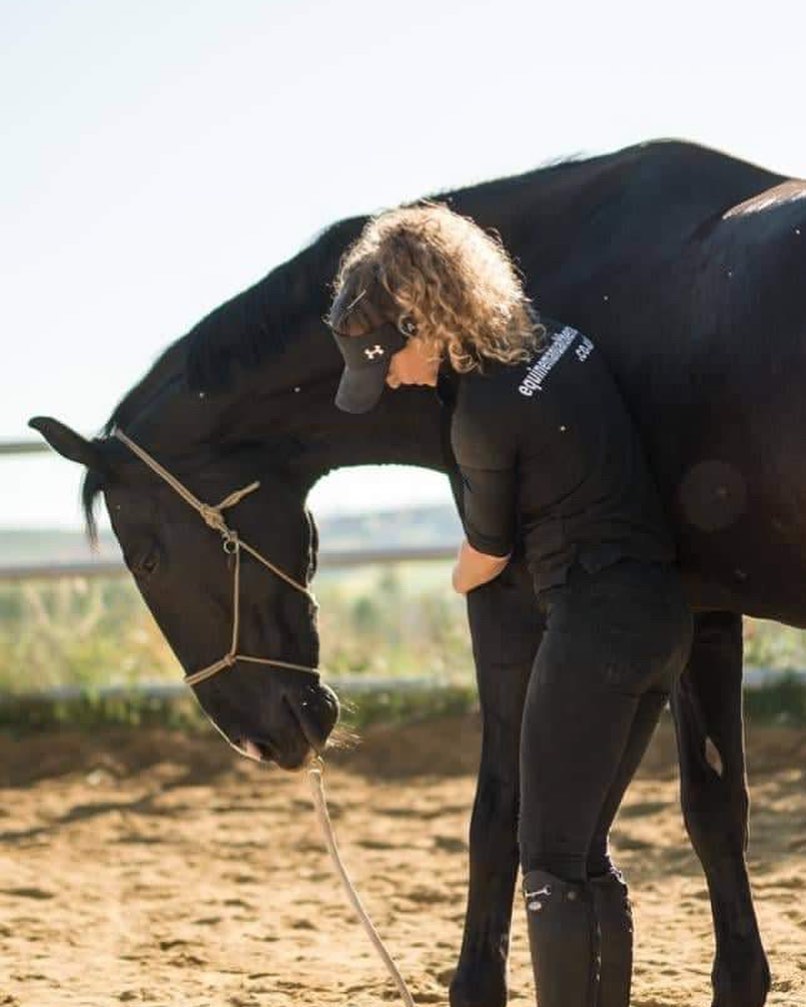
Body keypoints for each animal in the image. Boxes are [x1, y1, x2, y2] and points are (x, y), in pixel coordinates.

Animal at [28, 139, 801, 1007]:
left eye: (146, 556)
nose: (264, 740)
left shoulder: (510, 601)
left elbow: (501, 811)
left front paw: (476, 981)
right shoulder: (706, 613)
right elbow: (713, 808)